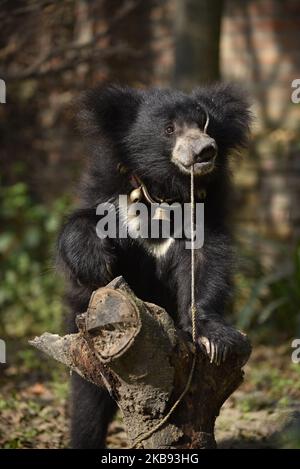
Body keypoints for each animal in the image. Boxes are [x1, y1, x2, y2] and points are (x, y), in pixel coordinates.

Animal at [58, 83, 251, 446]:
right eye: (169, 129)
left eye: (204, 124)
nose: (205, 151)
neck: (164, 192)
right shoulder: (113, 194)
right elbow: (85, 228)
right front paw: (96, 262)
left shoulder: (203, 212)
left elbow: (206, 264)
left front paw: (215, 339)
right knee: (88, 401)